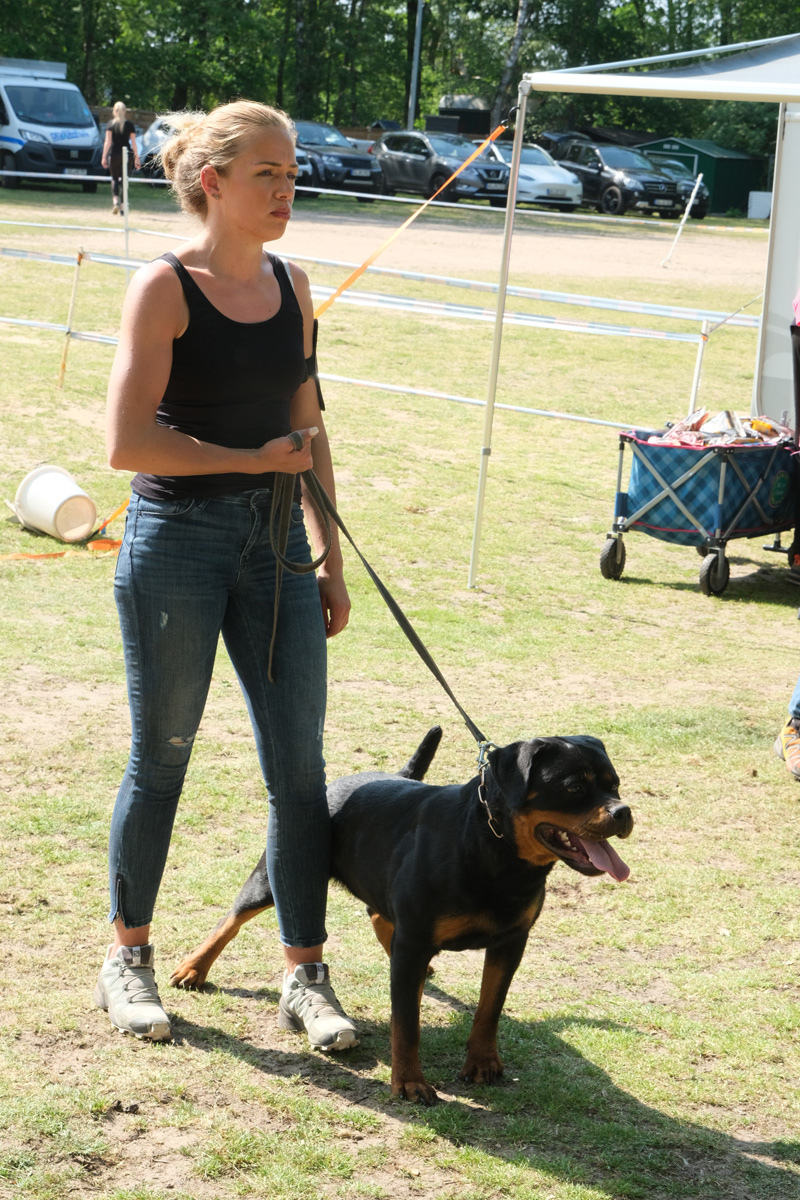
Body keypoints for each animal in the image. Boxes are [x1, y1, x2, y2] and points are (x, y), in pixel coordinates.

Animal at [172, 724, 633, 1099]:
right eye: (574, 786)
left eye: (615, 784)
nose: (623, 811)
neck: (492, 848)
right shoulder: (417, 941)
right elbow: (406, 1024)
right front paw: (409, 1082)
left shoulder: (510, 942)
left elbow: (489, 1010)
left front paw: (482, 1062)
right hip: (275, 876)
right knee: (232, 918)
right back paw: (193, 968)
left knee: (379, 916)